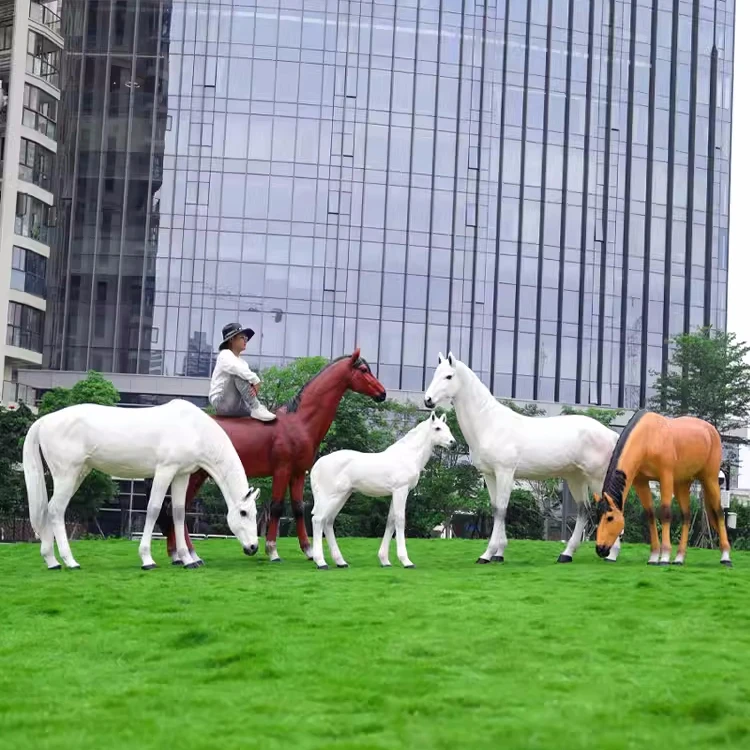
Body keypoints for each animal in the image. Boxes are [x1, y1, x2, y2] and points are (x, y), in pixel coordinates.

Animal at [23, 399, 261, 570]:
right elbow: (154, 510)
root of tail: (44, 420)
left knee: (48, 510)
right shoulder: (165, 471)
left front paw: (188, 559)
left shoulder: (181, 475)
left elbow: (178, 513)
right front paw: (147, 559)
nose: (253, 547)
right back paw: (69, 561)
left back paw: (52, 561)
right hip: (67, 474)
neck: (193, 428)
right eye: (243, 513)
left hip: (78, 474)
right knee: (56, 510)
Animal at [157, 348, 387, 563]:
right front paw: (272, 551)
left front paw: (309, 550)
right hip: (196, 476)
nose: (382, 393)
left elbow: (298, 508)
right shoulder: (282, 470)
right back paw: (190, 554)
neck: (299, 422)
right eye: (363, 370)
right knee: (178, 509)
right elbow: (276, 507)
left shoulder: (298, 473)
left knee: (174, 509)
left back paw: (176, 554)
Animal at [309, 411, 456, 569]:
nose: (453, 443)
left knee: (328, 521)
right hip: (330, 496)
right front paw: (406, 561)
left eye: (448, 428)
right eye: (437, 428)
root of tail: (318, 464)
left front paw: (385, 560)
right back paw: (321, 562)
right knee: (318, 520)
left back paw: (340, 562)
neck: (407, 456)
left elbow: (390, 522)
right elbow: (399, 520)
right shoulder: (400, 491)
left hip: (342, 496)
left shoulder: (396, 493)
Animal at [424, 352, 620, 564]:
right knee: (584, 511)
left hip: (597, 478)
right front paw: (499, 554)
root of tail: (611, 434)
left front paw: (487, 554)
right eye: (435, 373)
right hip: (577, 478)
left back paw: (611, 554)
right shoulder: (489, 475)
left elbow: (501, 509)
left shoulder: (505, 472)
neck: (489, 423)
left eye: (449, 376)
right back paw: (566, 554)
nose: (428, 400)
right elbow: (496, 509)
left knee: (611, 506)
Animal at [594, 409, 731, 567]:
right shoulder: (641, 481)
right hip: (682, 484)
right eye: (598, 516)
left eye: (610, 518)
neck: (648, 438)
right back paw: (679, 559)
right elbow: (650, 515)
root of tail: (711, 430)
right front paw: (654, 557)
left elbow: (665, 512)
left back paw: (726, 557)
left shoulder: (666, 477)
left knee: (719, 512)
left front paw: (664, 556)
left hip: (710, 479)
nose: (600, 549)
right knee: (686, 516)